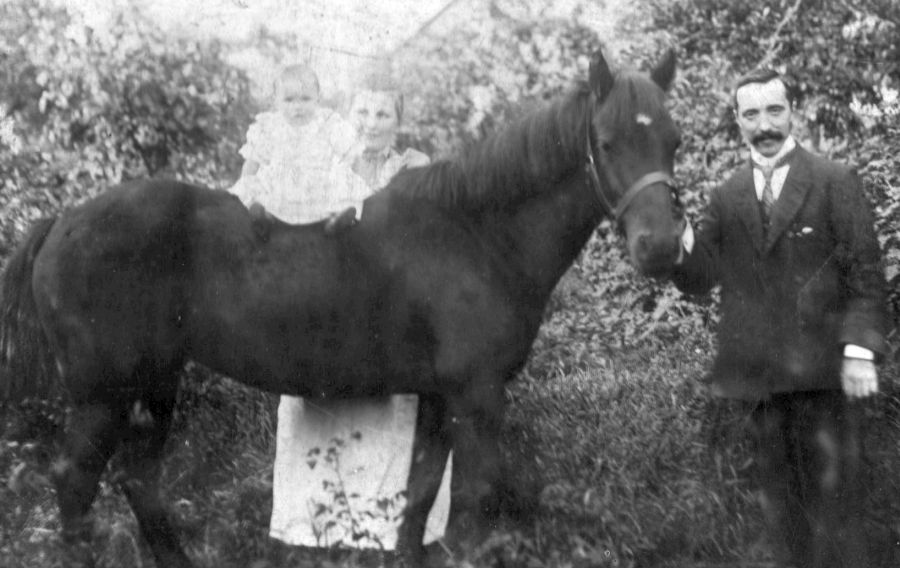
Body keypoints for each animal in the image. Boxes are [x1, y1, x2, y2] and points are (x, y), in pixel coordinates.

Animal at [0, 50, 680, 568]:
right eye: (607, 142)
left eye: (673, 141)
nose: (663, 246)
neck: (476, 234)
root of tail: (63, 220)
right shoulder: (477, 395)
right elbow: (475, 504)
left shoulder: (441, 398)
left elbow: (417, 496)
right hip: (103, 395)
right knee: (75, 483)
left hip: (155, 386)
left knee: (138, 480)